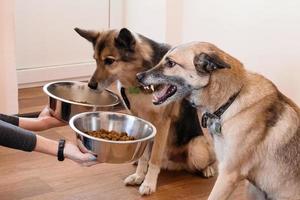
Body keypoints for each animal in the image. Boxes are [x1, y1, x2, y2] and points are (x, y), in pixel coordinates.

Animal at [75, 28, 216, 195]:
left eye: (109, 61)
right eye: (95, 60)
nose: (90, 85)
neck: (138, 82)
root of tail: (174, 164)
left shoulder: (162, 124)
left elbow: (154, 159)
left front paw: (148, 183)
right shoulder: (141, 122)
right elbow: (144, 155)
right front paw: (138, 176)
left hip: (197, 148)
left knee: (208, 160)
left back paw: (207, 169)